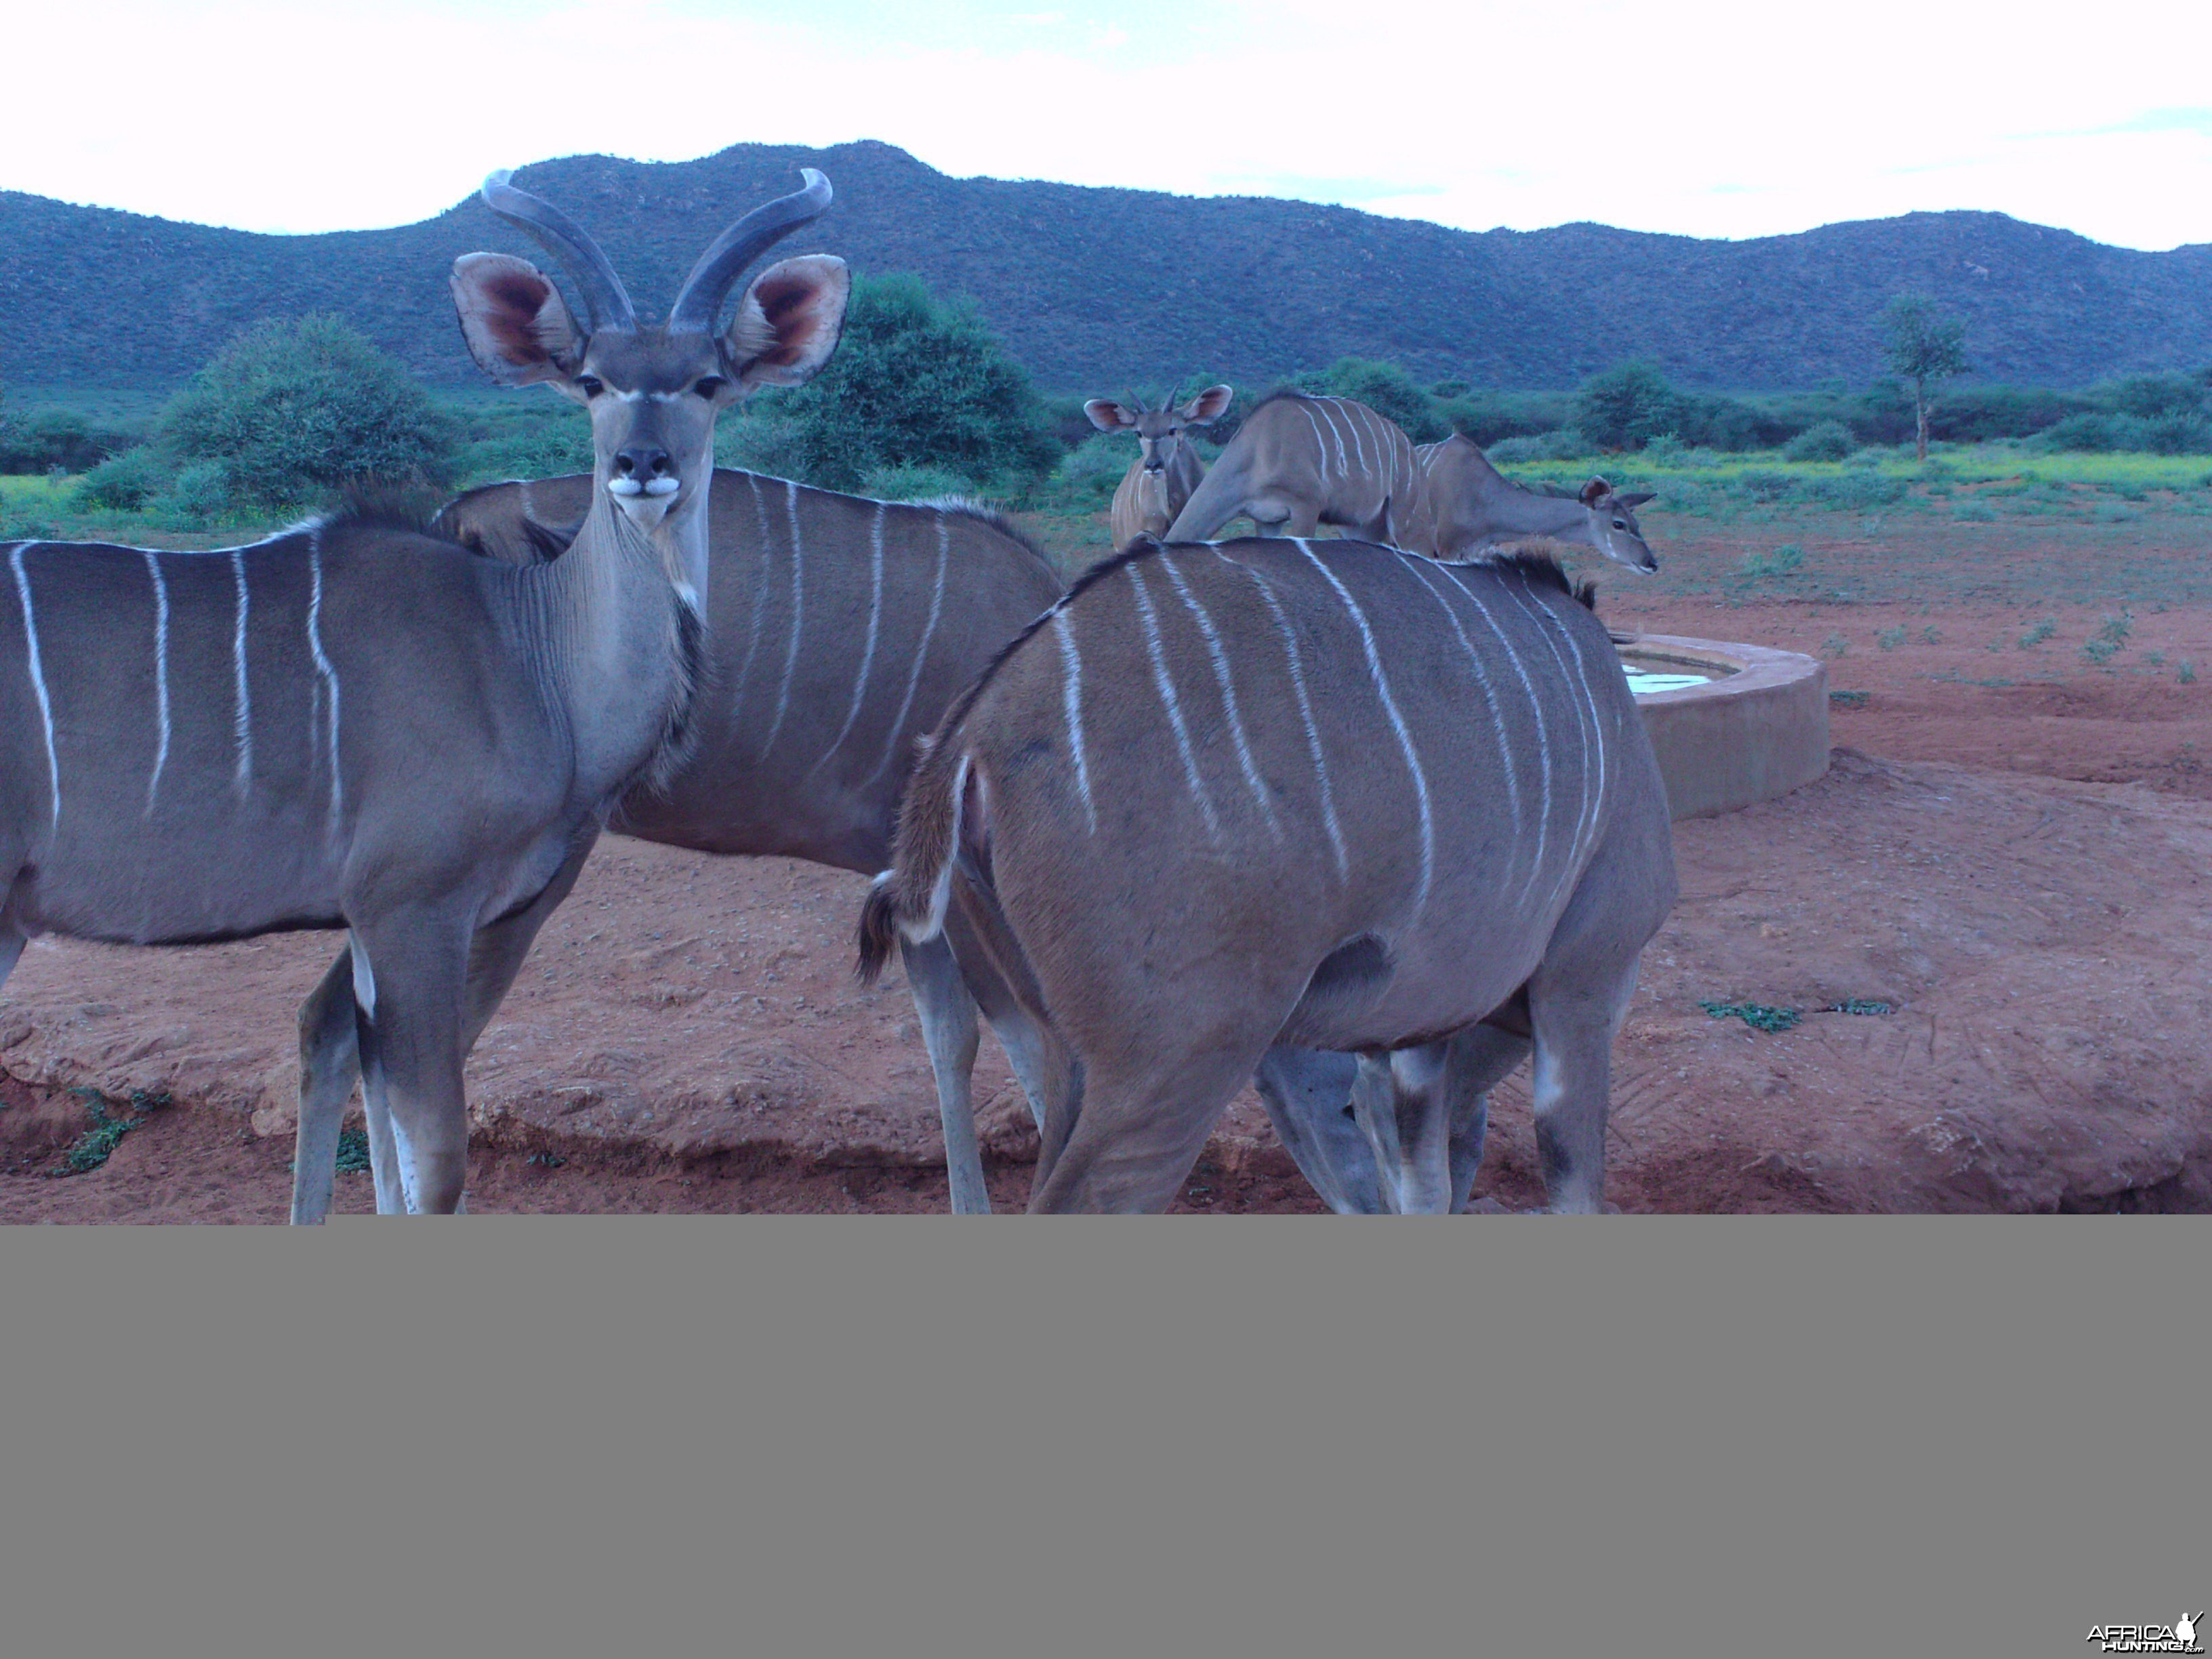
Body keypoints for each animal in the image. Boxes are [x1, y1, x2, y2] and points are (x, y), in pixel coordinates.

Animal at [0, 169, 853, 1221]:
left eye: (707, 380)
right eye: (592, 382)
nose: (642, 465)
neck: (530, 650)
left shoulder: (391, 926)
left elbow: (385, 1133)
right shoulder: (413, 908)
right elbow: (436, 1157)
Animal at [862, 539, 1672, 1212]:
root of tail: (970, 737)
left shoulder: (1422, 1026)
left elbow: (1424, 1179)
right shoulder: (1588, 974)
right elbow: (1570, 1184)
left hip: (1070, 1049)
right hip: (1177, 1061)